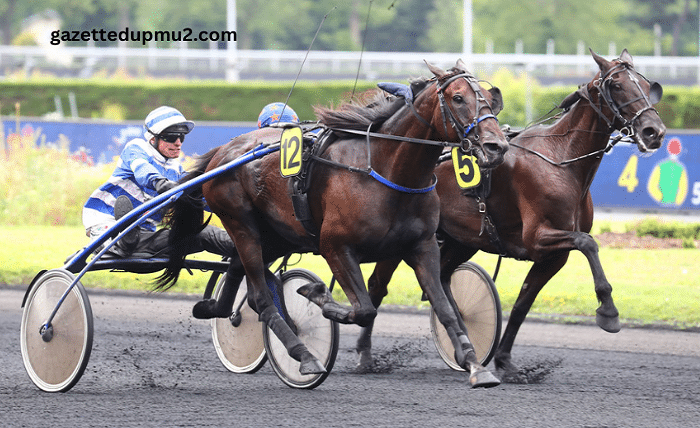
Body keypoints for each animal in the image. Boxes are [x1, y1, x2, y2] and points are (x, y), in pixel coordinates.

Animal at [159, 61, 508, 388]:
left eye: (490, 98)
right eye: (458, 98)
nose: (497, 146)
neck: (386, 172)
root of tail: (223, 151)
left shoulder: (421, 246)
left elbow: (445, 307)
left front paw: (475, 365)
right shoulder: (335, 246)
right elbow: (364, 308)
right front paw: (317, 294)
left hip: (278, 234)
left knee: (239, 271)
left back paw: (214, 308)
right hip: (240, 222)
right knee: (261, 297)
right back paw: (304, 355)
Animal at [360, 48, 668, 380]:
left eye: (645, 85)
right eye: (617, 85)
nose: (654, 131)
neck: (561, 160)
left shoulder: (554, 255)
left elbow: (523, 303)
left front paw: (505, 361)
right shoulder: (538, 237)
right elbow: (589, 243)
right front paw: (608, 311)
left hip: (462, 239)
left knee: (441, 278)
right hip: (404, 238)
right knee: (378, 284)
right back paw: (365, 355)